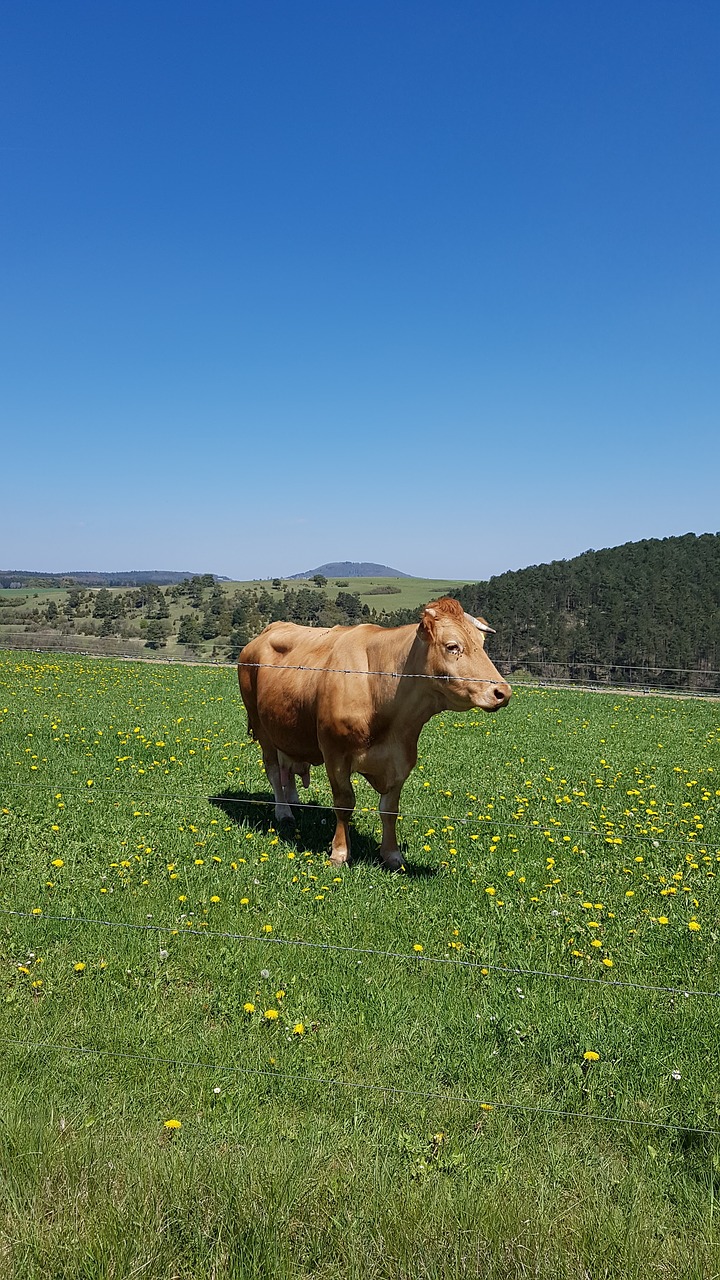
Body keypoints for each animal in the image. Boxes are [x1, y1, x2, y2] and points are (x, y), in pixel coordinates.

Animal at [238, 599, 507, 870]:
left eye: (482, 644)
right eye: (452, 646)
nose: (502, 692)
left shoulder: (401, 758)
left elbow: (390, 810)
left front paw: (392, 854)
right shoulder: (335, 754)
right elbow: (344, 803)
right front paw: (339, 852)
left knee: (287, 766)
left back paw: (293, 801)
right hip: (261, 728)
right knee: (273, 771)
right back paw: (283, 812)